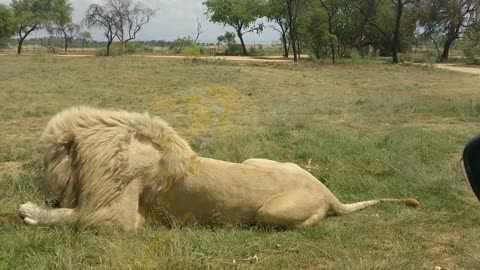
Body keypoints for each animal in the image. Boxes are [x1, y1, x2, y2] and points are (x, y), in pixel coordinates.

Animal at [18, 106, 418, 229]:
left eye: (46, 159)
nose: (42, 186)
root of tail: (327, 191)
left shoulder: (120, 218)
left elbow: (74, 216)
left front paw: (29, 212)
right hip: (255, 160)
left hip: (271, 212)